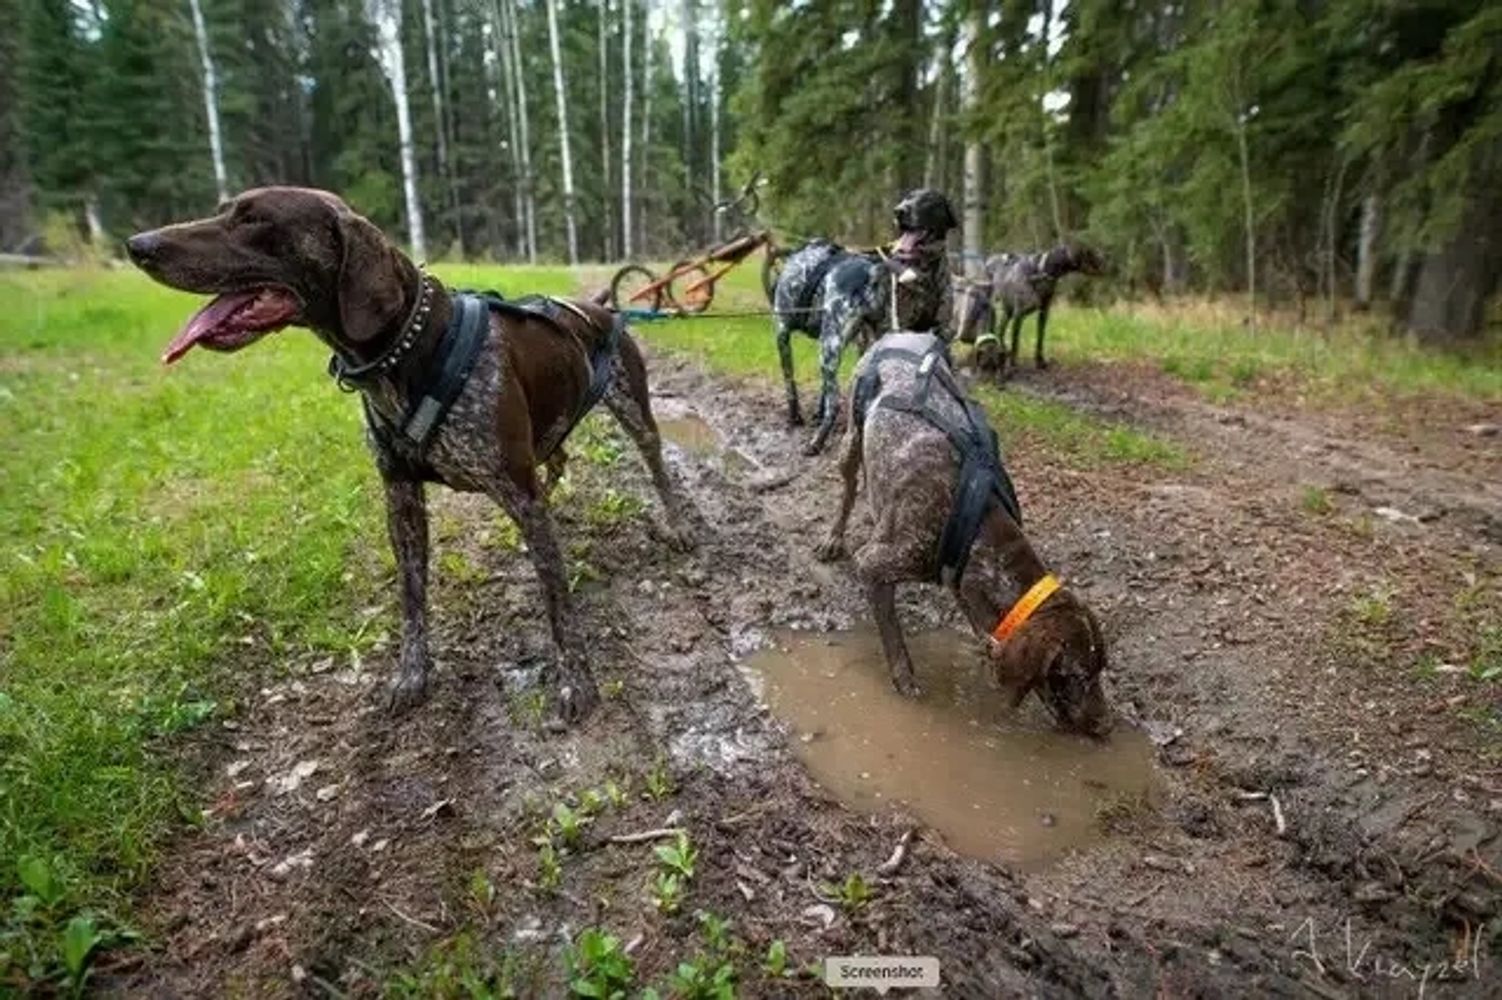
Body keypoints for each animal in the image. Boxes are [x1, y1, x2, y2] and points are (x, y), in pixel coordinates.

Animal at [127, 184, 690, 717]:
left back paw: (679, 525)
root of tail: (601, 307)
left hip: (634, 413)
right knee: (558, 461)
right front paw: (412, 675)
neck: (409, 347)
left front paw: (576, 680)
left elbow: (557, 601)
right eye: (225, 210)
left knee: (656, 467)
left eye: (253, 219)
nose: (139, 245)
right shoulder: (401, 498)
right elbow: (412, 597)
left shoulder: (517, 491)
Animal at [775, 186, 949, 450]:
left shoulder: (783, 333)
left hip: (828, 349)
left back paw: (817, 442)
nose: (900, 211)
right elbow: (823, 391)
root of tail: (871, 269)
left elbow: (790, 384)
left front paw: (795, 416)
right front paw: (816, 413)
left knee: (835, 404)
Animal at [973, 243, 1105, 372]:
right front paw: (1013, 365)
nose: (1105, 260)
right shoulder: (1018, 315)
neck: (1041, 271)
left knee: (1000, 330)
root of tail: (987, 260)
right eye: (1089, 252)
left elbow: (1040, 339)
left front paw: (1040, 362)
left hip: (1007, 311)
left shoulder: (1043, 313)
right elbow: (1016, 342)